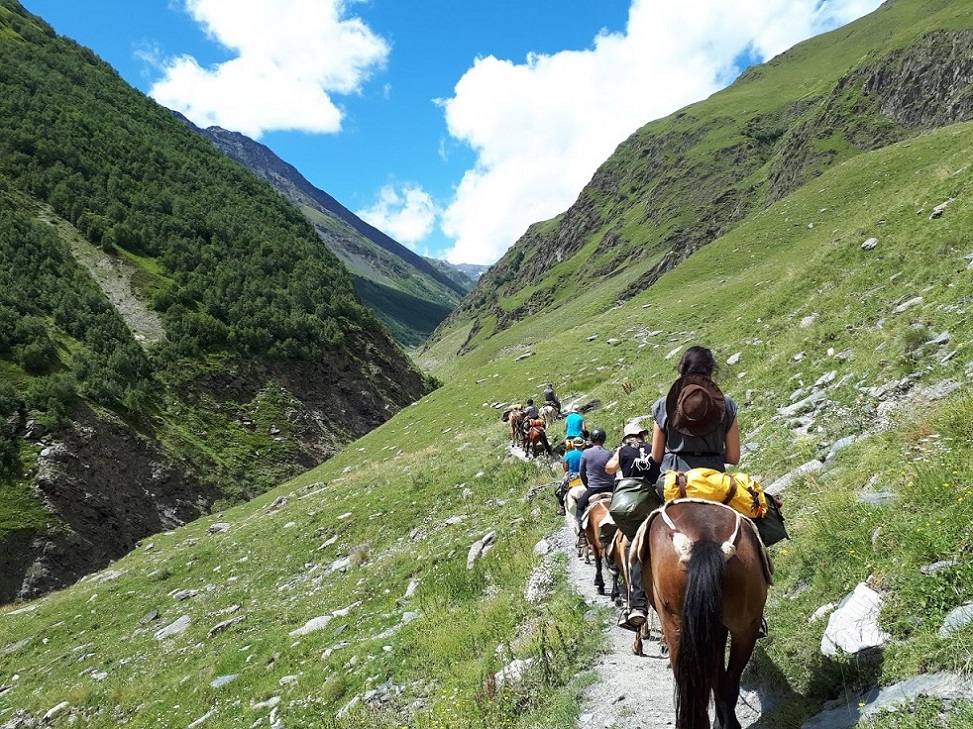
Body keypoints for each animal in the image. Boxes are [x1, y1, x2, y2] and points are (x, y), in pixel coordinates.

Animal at [636, 500, 772, 728]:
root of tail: (706, 540)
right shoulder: (716, 628)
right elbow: (717, 673)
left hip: (677, 627)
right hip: (745, 625)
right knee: (728, 682)